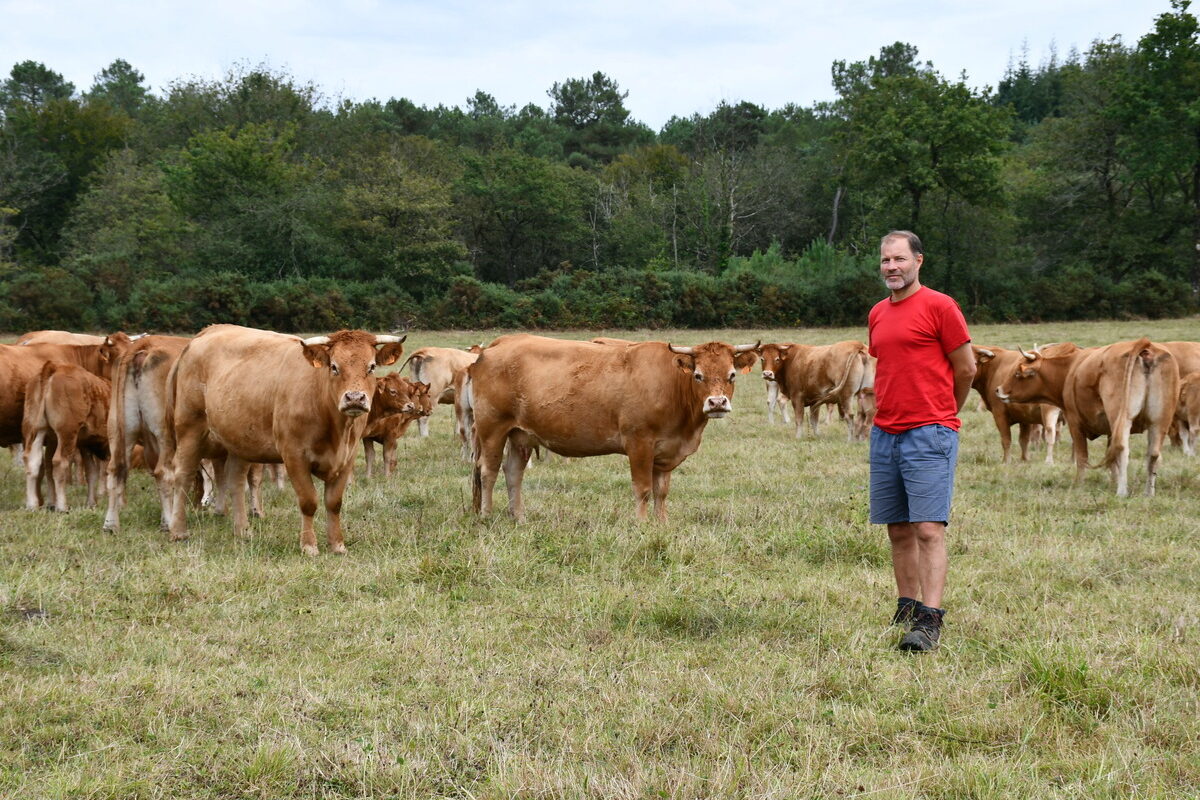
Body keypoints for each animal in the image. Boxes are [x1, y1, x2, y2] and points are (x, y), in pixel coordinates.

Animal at [22, 364, 109, 513]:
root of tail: (55, 367)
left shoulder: (85, 444)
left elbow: (92, 471)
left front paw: (91, 503)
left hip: (37, 429)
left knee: (33, 461)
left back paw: (32, 505)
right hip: (67, 432)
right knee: (59, 462)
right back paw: (62, 506)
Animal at [164, 321, 408, 554]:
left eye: (372, 366)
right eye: (334, 367)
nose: (355, 398)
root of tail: (205, 334)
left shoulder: (347, 458)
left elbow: (334, 503)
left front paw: (337, 545)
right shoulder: (294, 456)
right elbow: (308, 501)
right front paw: (309, 545)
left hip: (239, 440)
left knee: (236, 482)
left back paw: (242, 531)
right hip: (190, 428)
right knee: (182, 476)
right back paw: (178, 531)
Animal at [463, 335, 753, 522]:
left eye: (731, 375)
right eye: (698, 375)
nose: (717, 403)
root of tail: (497, 345)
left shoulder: (665, 452)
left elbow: (661, 492)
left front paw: (662, 525)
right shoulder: (639, 444)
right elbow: (643, 489)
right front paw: (641, 525)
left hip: (520, 434)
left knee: (513, 473)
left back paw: (519, 518)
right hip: (492, 428)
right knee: (487, 471)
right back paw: (487, 516)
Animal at [993, 335, 1180, 494]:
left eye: (1017, 373)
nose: (998, 390)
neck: (1070, 369)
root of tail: (1144, 345)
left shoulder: (1075, 422)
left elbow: (1082, 456)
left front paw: (1079, 483)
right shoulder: (1110, 429)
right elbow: (1111, 459)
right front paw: (1112, 481)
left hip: (1122, 418)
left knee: (1122, 448)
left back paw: (1122, 491)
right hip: (1159, 422)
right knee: (1153, 455)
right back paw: (1148, 493)